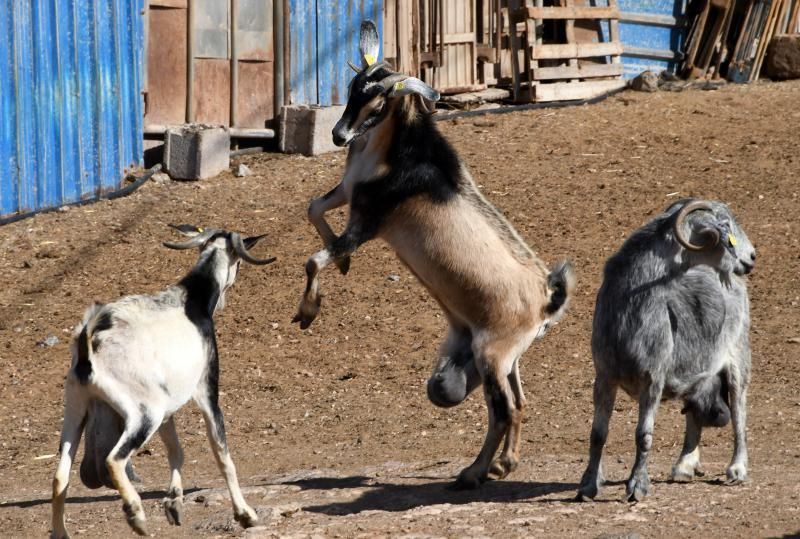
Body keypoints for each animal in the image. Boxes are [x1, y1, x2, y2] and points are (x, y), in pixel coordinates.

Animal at [50, 225, 276, 539]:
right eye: (239, 262)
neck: (190, 299)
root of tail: (90, 344)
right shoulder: (207, 392)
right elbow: (222, 455)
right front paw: (246, 514)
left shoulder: (169, 410)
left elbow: (176, 452)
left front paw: (174, 505)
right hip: (144, 414)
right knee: (114, 460)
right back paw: (136, 515)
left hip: (76, 409)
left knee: (59, 477)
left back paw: (61, 532)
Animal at [294, 20, 576, 490]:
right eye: (352, 89)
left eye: (378, 100)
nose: (338, 135)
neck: (400, 155)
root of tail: (548, 299)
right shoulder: (350, 195)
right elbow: (314, 207)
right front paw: (344, 267)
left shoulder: (370, 222)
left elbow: (316, 259)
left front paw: (308, 312)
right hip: (505, 357)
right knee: (517, 404)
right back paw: (501, 464)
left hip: (492, 353)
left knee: (503, 411)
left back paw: (478, 471)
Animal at [576, 200, 756, 504]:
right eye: (726, 226)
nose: (751, 257)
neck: (628, 311)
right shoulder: (604, 377)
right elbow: (597, 434)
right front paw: (587, 487)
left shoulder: (653, 379)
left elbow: (643, 435)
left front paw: (637, 487)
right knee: (695, 414)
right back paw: (684, 466)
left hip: (738, 361)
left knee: (739, 412)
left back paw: (737, 469)